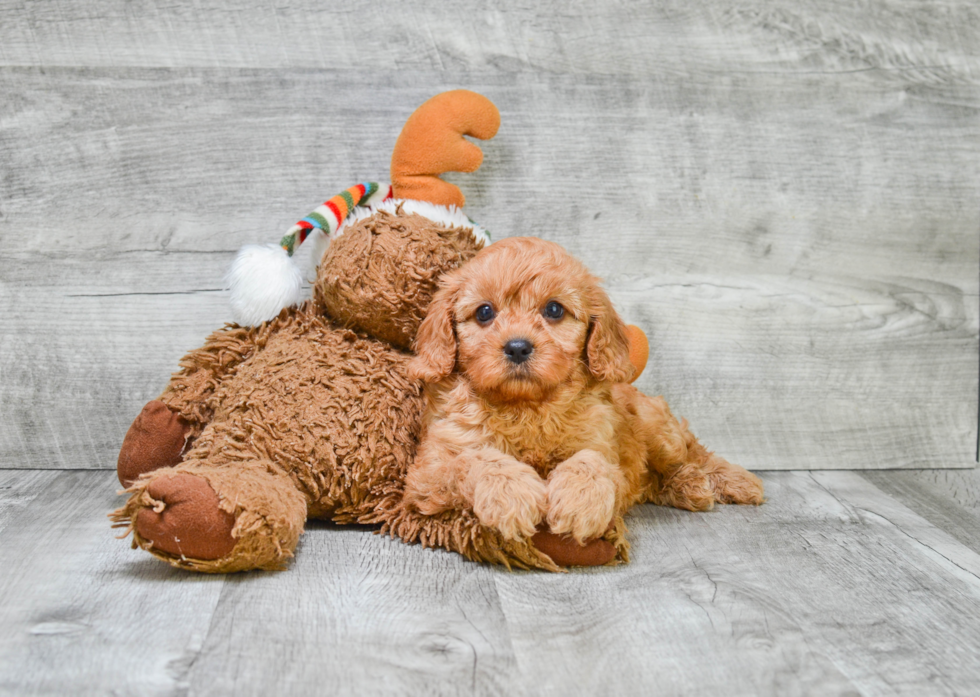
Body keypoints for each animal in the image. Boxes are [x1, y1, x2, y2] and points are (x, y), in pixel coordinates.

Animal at [402, 237, 760, 552]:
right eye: (484, 312)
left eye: (554, 310)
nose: (517, 347)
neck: (527, 406)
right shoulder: (428, 470)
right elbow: (474, 459)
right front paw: (511, 492)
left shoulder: (603, 443)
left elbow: (590, 462)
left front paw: (579, 502)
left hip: (659, 432)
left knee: (691, 453)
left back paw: (720, 482)